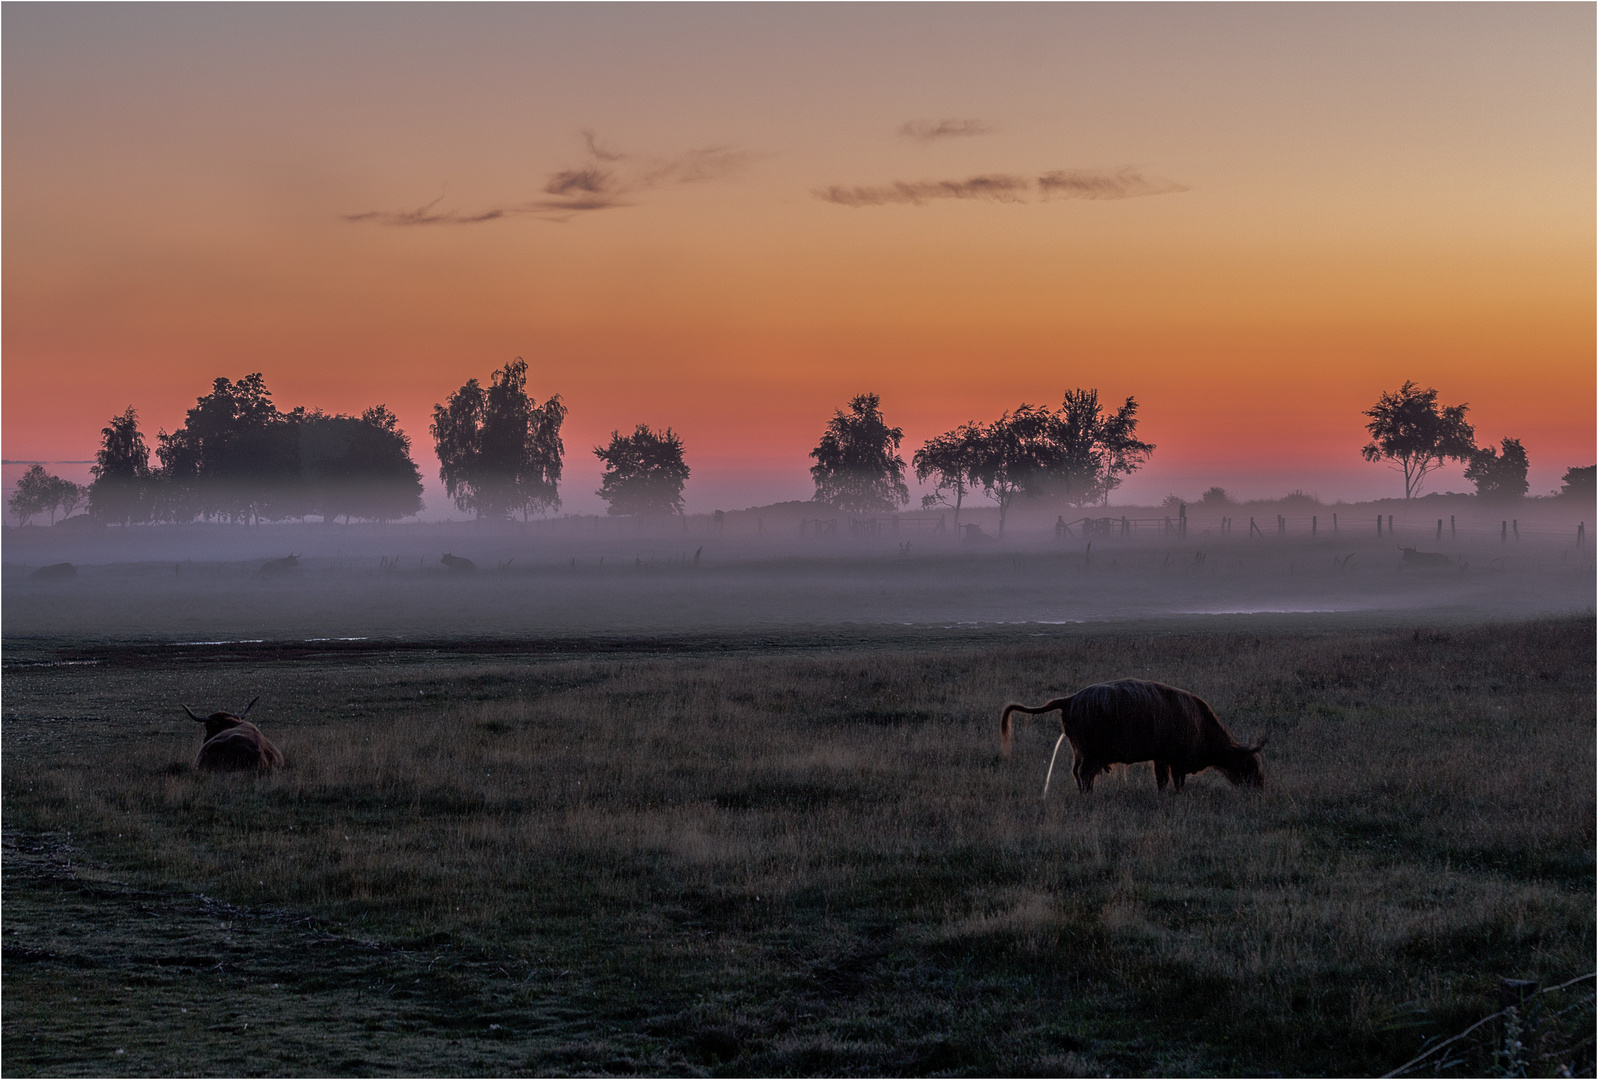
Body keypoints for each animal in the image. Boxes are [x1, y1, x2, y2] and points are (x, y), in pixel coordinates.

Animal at [1003, 680, 1265, 798]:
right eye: (1249, 764)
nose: (1259, 785)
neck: (1200, 722)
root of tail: (1070, 699)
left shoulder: (1161, 758)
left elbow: (1162, 780)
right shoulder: (1176, 760)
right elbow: (1176, 781)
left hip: (1081, 752)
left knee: (1078, 772)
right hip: (1090, 754)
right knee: (1084, 774)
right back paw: (1088, 795)